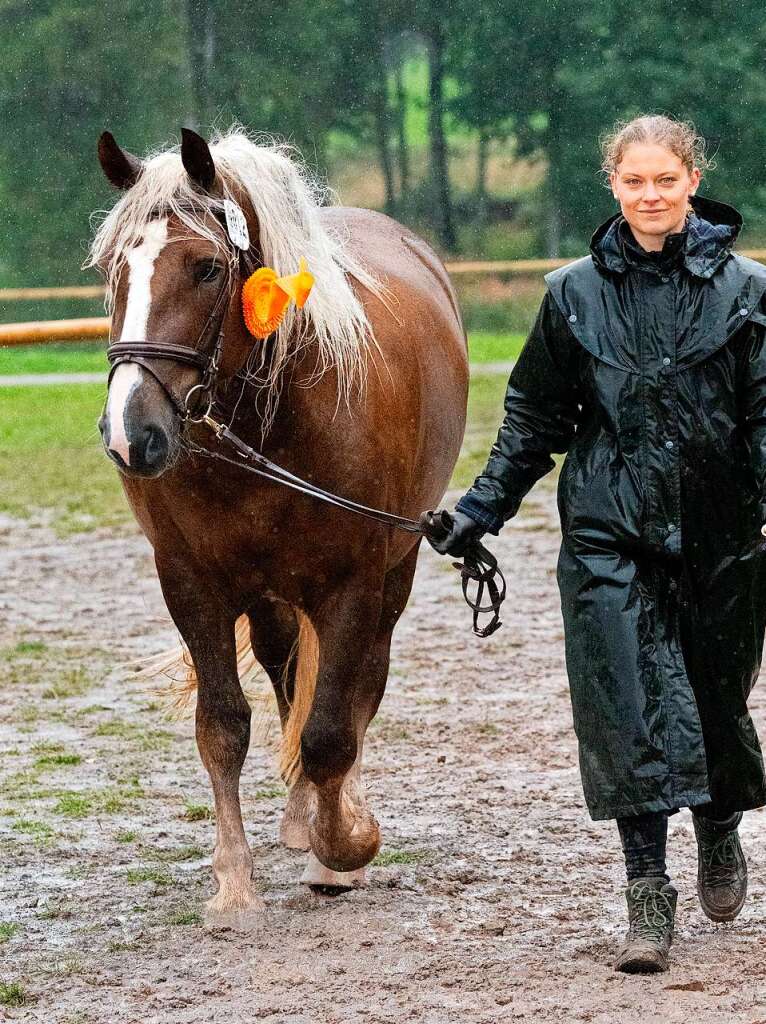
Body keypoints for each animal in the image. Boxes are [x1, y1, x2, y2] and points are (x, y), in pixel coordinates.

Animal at [93, 128, 469, 929]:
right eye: (115, 269)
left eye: (206, 267)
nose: (132, 434)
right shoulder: (192, 586)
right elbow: (223, 728)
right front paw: (234, 885)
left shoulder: (353, 583)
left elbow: (331, 731)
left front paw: (346, 848)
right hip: (268, 594)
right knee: (287, 668)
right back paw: (300, 815)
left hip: (392, 575)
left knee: (358, 691)